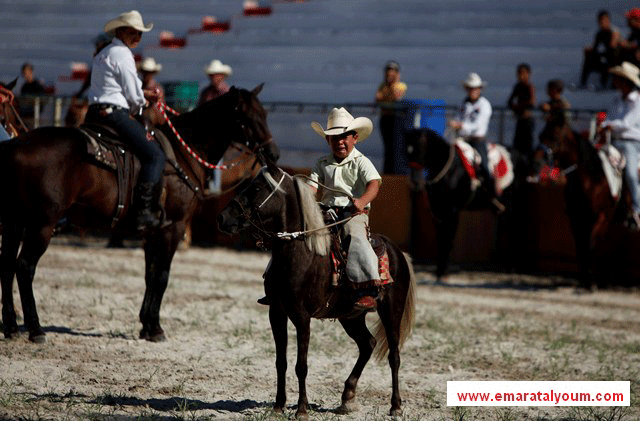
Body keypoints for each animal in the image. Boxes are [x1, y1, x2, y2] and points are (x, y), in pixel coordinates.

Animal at [1, 84, 278, 342]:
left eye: (265, 113)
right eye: (247, 117)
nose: (273, 153)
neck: (182, 155)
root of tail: (13, 146)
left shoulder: (151, 232)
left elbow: (150, 275)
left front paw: (146, 325)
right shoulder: (173, 226)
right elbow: (163, 276)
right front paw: (156, 328)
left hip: (15, 221)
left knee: (7, 266)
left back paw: (12, 327)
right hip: (42, 224)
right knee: (24, 267)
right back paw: (36, 330)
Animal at [218, 163, 418, 416]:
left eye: (256, 188)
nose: (223, 217)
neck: (301, 253)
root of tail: (398, 253)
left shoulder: (302, 317)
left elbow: (301, 365)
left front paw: (302, 409)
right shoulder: (276, 312)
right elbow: (281, 362)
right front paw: (278, 406)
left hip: (392, 311)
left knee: (394, 356)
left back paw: (395, 406)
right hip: (351, 316)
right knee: (367, 344)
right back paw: (348, 397)